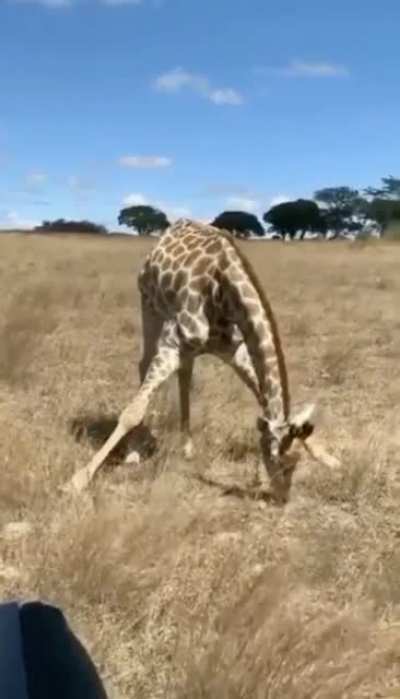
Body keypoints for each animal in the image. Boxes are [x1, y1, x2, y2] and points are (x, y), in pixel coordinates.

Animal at [66, 218, 338, 500]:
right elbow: (133, 411)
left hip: (186, 344)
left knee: (185, 374)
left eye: (296, 464)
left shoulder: (233, 349)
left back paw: (186, 446)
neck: (225, 292)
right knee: (144, 364)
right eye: (277, 461)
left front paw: (327, 457)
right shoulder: (171, 343)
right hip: (149, 305)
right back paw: (133, 452)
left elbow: (261, 391)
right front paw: (78, 480)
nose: (281, 497)